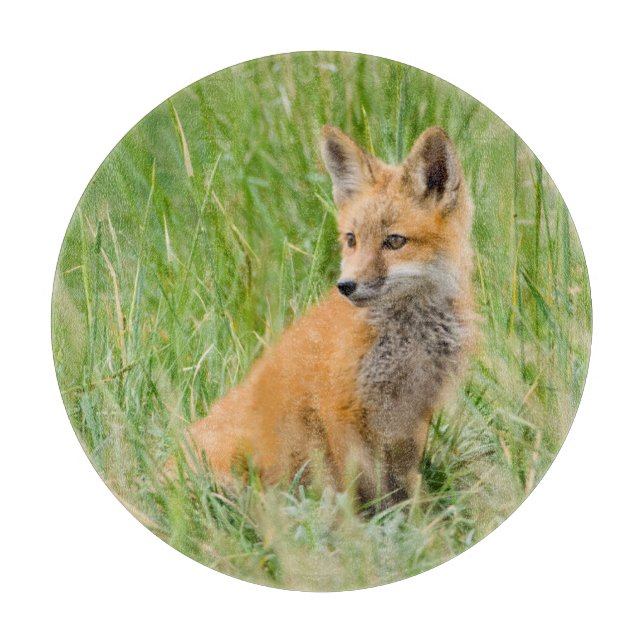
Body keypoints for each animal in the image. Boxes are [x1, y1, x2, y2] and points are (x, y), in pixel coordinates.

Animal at [186, 124, 475, 508]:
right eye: (351, 239)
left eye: (394, 241)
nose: (346, 286)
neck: (409, 339)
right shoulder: (339, 407)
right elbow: (362, 487)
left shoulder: (413, 415)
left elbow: (405, 484)